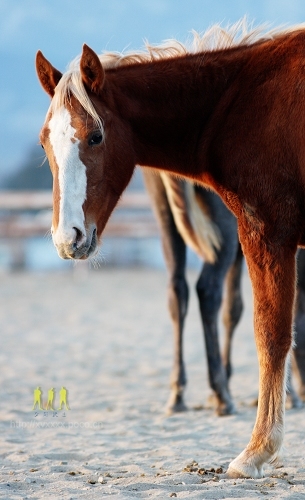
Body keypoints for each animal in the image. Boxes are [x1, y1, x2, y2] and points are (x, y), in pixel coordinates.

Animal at [36, 21, 305, 476]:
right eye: (44, 143)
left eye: (96, 136)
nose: (67, 238)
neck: (241, 101)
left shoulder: (268, 234)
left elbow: (271, 335)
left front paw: (257, 450)